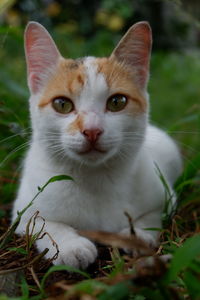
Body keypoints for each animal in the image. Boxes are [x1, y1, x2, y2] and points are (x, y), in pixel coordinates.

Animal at [11, 21, 182, 270]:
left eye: (117, 102)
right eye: (62, 104)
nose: (92, 130)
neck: (94, 178)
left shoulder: (166, 197)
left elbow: (152, 215)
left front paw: (138, 235)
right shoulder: (22, 210)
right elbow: (43, 222)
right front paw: (70, 246)